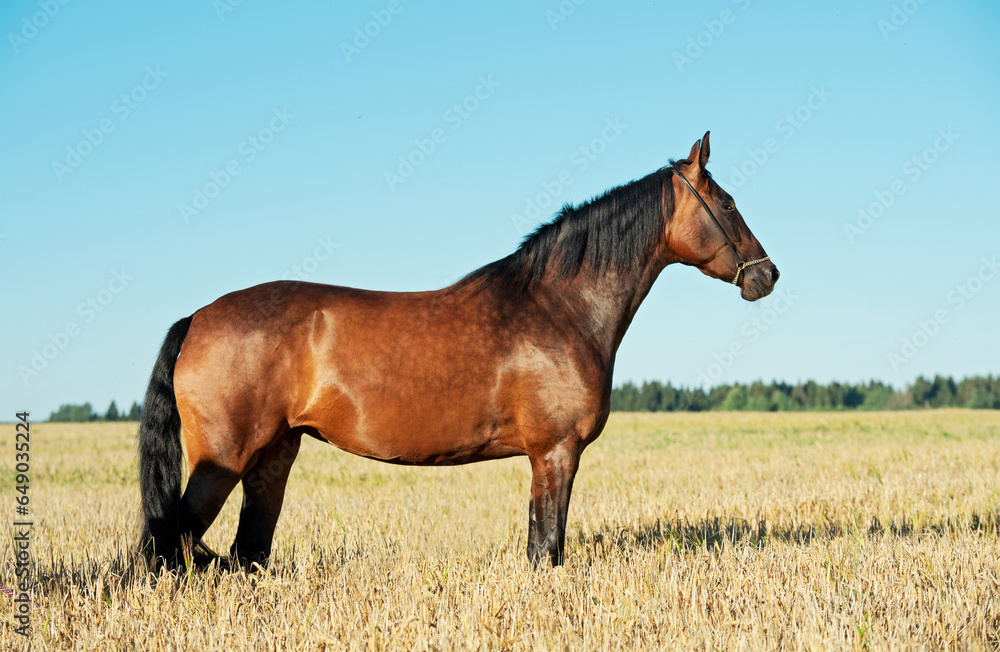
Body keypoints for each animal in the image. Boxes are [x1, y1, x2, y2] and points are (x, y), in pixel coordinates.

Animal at [139, 131, 780, 564]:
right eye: (727, 205)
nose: (766, 275)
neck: (558, 306)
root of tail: (198, 318)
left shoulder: (544, 457)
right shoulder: (556, 453)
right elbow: (547, 550)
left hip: (274, 456)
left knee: (246, 552)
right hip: (222, 460)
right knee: (174, 545)